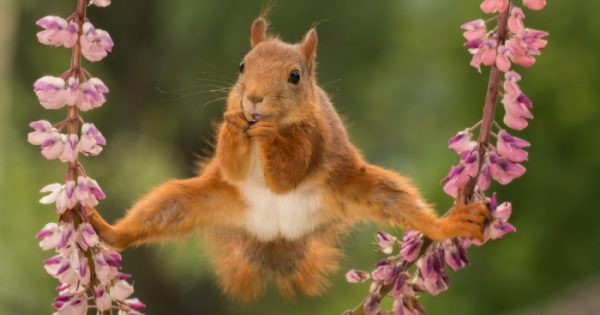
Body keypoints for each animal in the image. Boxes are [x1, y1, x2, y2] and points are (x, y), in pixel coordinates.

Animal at [86, 17, 488, 304]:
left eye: (295, 76)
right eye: (242, 65)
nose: (253, 99)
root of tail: (276, 236)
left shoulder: (315, 138)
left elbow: (288, 175)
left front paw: (269, 137)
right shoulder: (231, 163)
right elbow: (232, 166)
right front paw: (235, 124)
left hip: (364, 188)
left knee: (403, 204)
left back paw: (449, 224)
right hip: (195, 200)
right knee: (152, 215)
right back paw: (104, 228)